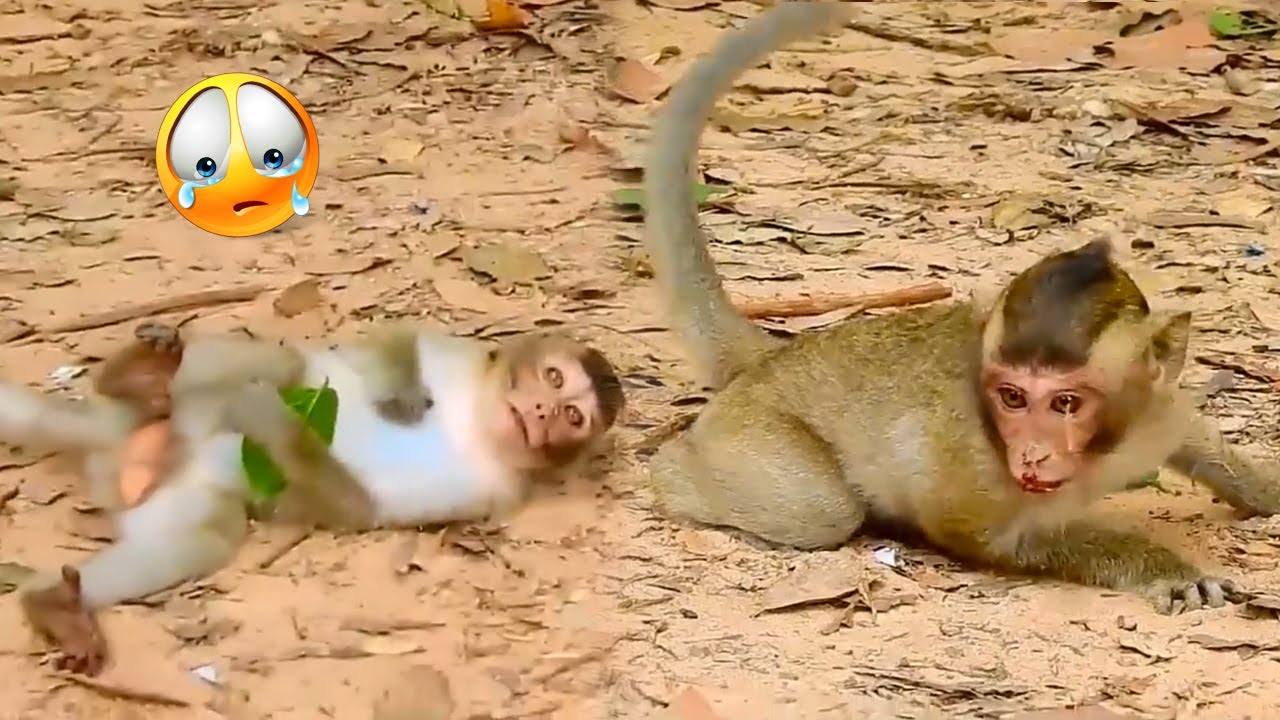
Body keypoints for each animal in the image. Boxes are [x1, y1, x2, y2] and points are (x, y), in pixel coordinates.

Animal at [2, 326, 625, 675]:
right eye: (552, 379)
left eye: (573, 416)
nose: (543, 413)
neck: (475, 423)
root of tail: (115, 441)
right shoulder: (461, 362)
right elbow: (400, 343)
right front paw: (401, 389)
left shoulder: (491, 489)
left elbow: (355, 505)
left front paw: (272, 420)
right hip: (183, 400)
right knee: (288, 363)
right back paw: (140, 378)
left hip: (167, 489)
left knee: (206, 534)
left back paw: (54, 606)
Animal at [639, 1, 1280, 613]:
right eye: (1012, 397)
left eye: (1066, 402)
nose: (1031, 453)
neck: (1104, 452)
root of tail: (775, 356)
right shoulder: (973, 465)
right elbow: (993, 539)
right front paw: (1165, 568)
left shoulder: (1162, 408)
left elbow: (1199, 438)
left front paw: (1268, 490)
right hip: (750, 427)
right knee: (817, 511)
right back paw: (672, 473)